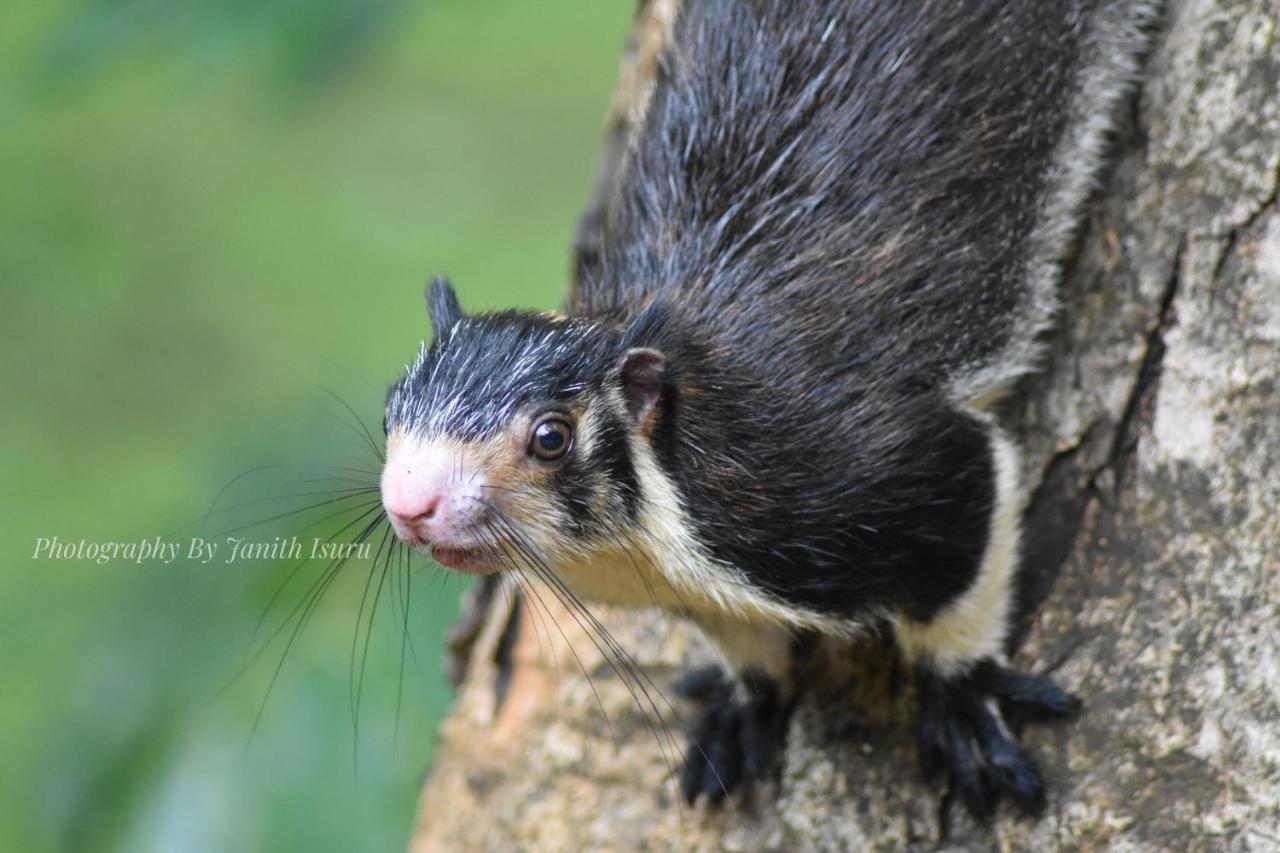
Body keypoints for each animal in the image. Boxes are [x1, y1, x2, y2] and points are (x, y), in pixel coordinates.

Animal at [376, 0, 1162, 819]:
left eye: (551, 436)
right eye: (390, 408)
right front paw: (742, 706)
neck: (646, 550)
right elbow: (745, 646)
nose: (410, 501)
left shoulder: (851, 474)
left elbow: (960, 533)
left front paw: (962, 696)